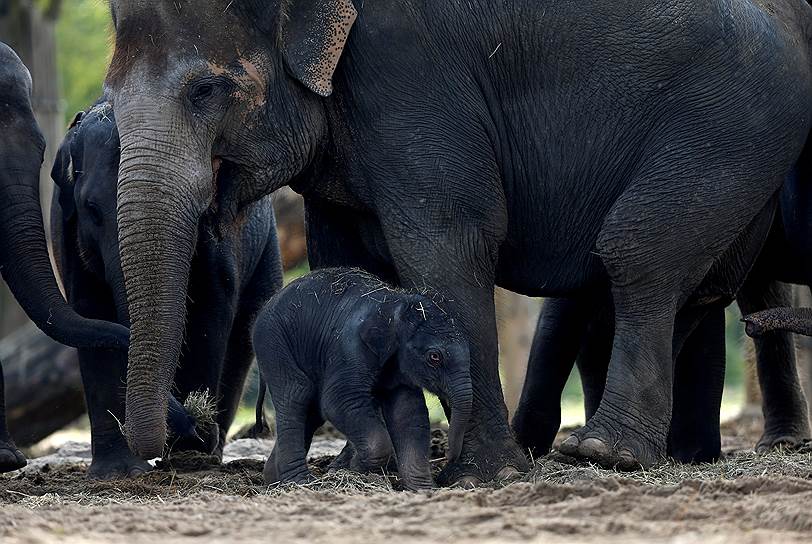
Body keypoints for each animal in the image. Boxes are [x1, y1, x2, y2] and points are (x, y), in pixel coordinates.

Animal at [50, 101, 284, 476]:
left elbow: (209, 306)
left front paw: (189, 455)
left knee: (242, 337)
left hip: (267, 252)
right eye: (91, 209)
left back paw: (209, 453)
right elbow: (90, 310)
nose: (194, 425)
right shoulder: (66, 229)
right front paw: (117, 472)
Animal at [252, 270, 470, 490]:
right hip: (273, 343)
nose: (448, 455)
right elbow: (338, 401)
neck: (394, 303)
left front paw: (423, 490)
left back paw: (274, 478)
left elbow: (407, 413)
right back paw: (299, 482)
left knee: (311, 410)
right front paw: (353, 468)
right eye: (434, 357)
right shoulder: (350, 347)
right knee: (296, 395)